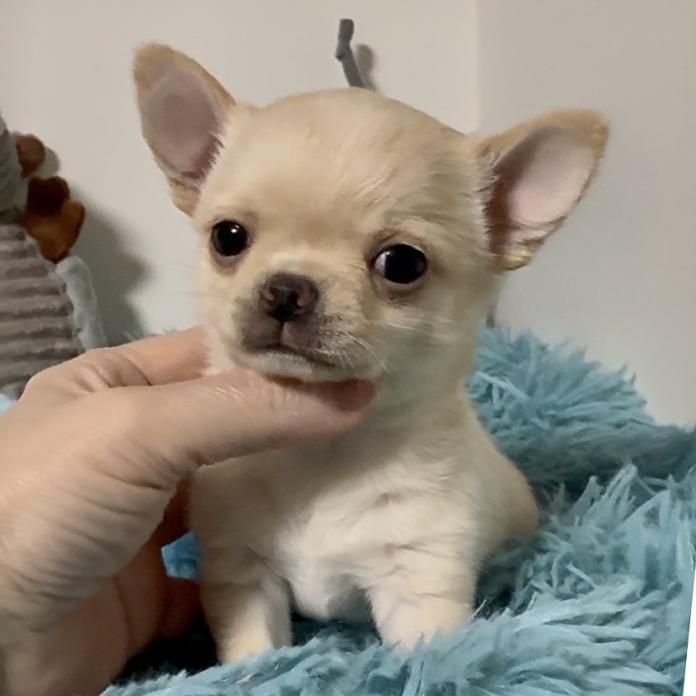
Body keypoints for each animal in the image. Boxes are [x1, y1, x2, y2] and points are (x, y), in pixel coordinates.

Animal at [133, 44, 607, 662]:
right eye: (227, 237)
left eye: (401, 264)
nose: (286, 289)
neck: (322, 458)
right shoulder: (241, 574)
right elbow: (255, 653)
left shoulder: (420, 580)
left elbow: (426, 657)